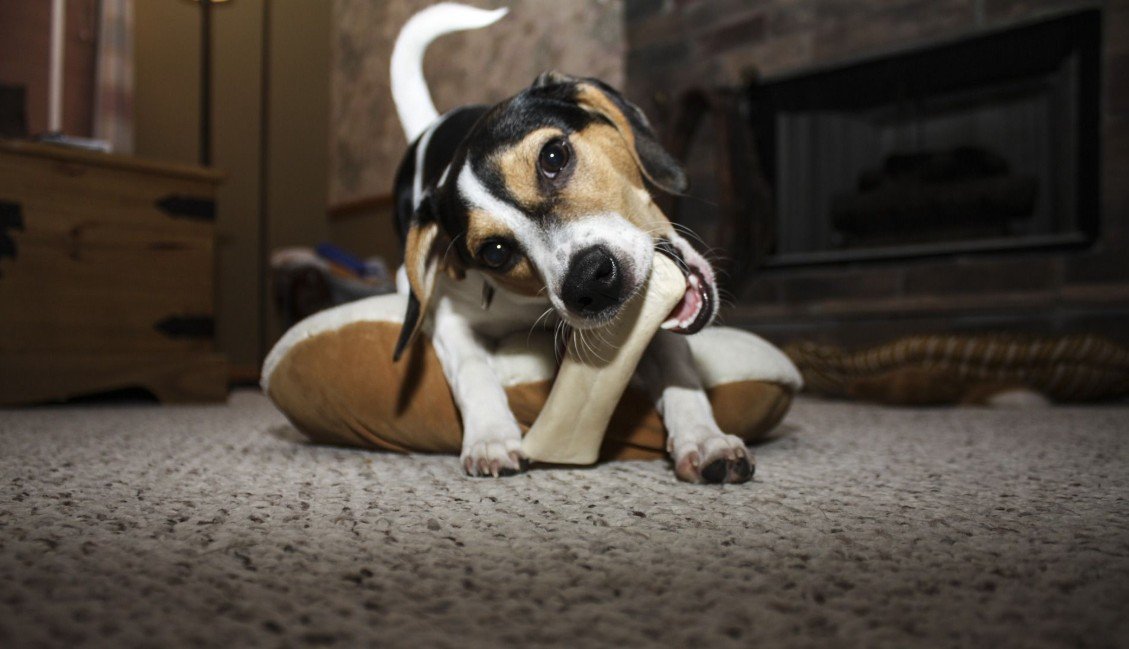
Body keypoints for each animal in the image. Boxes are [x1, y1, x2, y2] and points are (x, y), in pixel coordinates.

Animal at [392, 3, 754, 483]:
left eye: (553, 156)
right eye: (495, 252)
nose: (590, 283)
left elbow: (678, 368)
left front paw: (704, 438)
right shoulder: (450, 316)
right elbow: (473, 370)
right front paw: (490, 437)